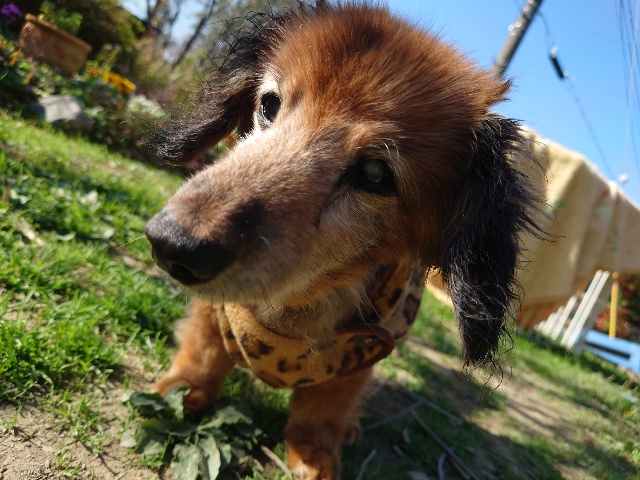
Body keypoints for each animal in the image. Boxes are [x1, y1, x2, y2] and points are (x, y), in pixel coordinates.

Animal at [145, 2, 539, 478]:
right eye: (269, 105)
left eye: (375, 173)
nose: (171, 244)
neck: (295, 304)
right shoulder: (212, 314)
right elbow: (202, 354)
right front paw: (178, 390)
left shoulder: (362, 352)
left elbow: (323, 409)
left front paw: (313, 452)